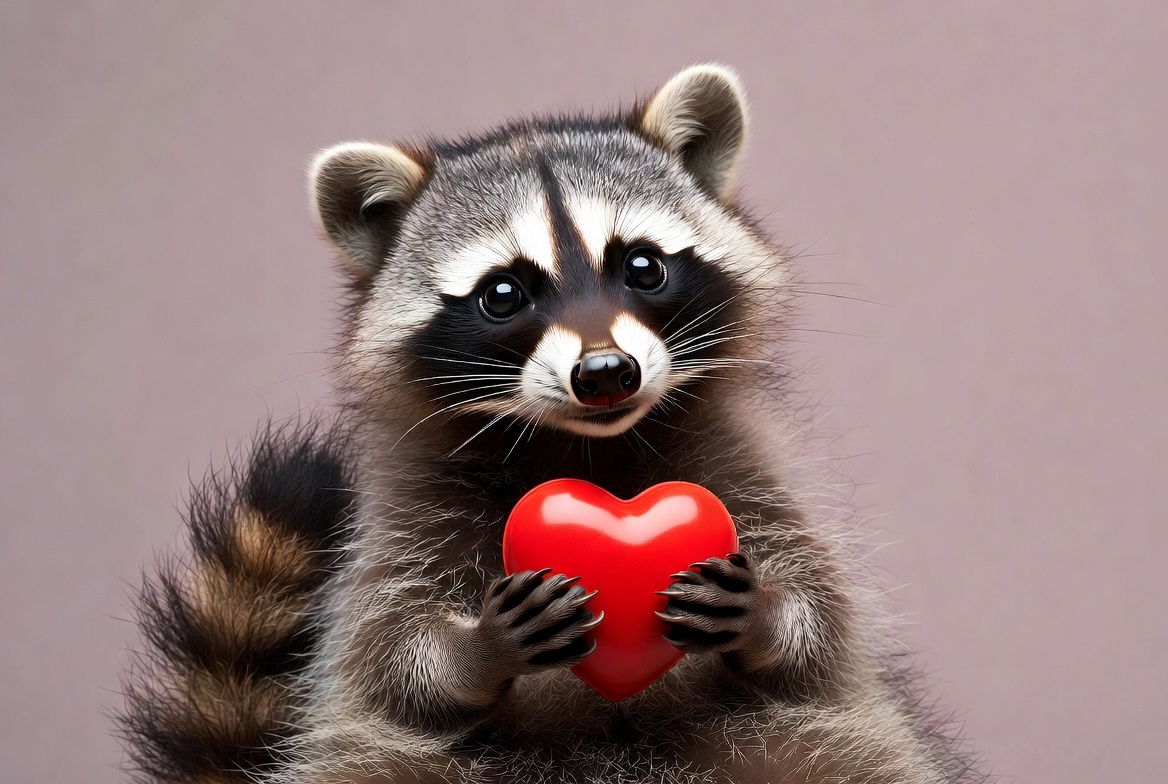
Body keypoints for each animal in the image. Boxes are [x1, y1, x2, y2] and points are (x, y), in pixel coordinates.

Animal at [120, 65, 983, 784]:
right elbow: (392, 659)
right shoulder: (401, 519)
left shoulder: (747, 468)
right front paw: (473, 649)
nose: (606, 373)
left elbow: (821, 625)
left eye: (642, 266)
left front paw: (768, 612)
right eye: (503, 293)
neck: (588, 445)